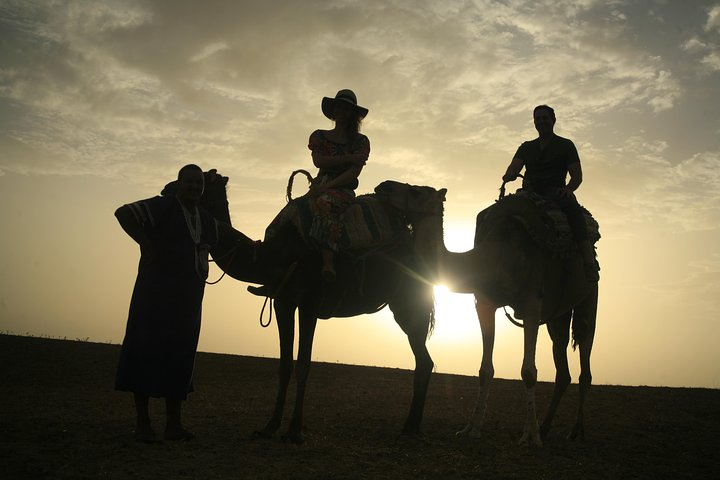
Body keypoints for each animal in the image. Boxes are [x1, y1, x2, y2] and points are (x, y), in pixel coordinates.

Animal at [175, 172, 448, 442]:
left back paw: (410, 425)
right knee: (424, 361)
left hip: (409, 306)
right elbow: (285, 364)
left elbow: (303, 364)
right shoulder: (283, 302)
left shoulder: (310, 304)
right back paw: (411, 425)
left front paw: (295, 430)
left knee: (424, 360)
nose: (172, 192)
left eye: (199, 184)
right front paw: (270, 426)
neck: (272, 257)